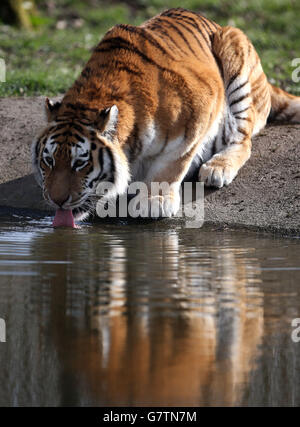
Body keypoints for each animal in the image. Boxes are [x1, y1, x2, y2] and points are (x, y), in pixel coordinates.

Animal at [31, 7, 300, 227]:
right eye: (49, 161)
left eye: (80, 163)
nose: (57, 200)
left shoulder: (200, 113)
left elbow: (172, 164)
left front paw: (155, 200)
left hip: (234, 49)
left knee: (243, 141)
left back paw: (217, 168)